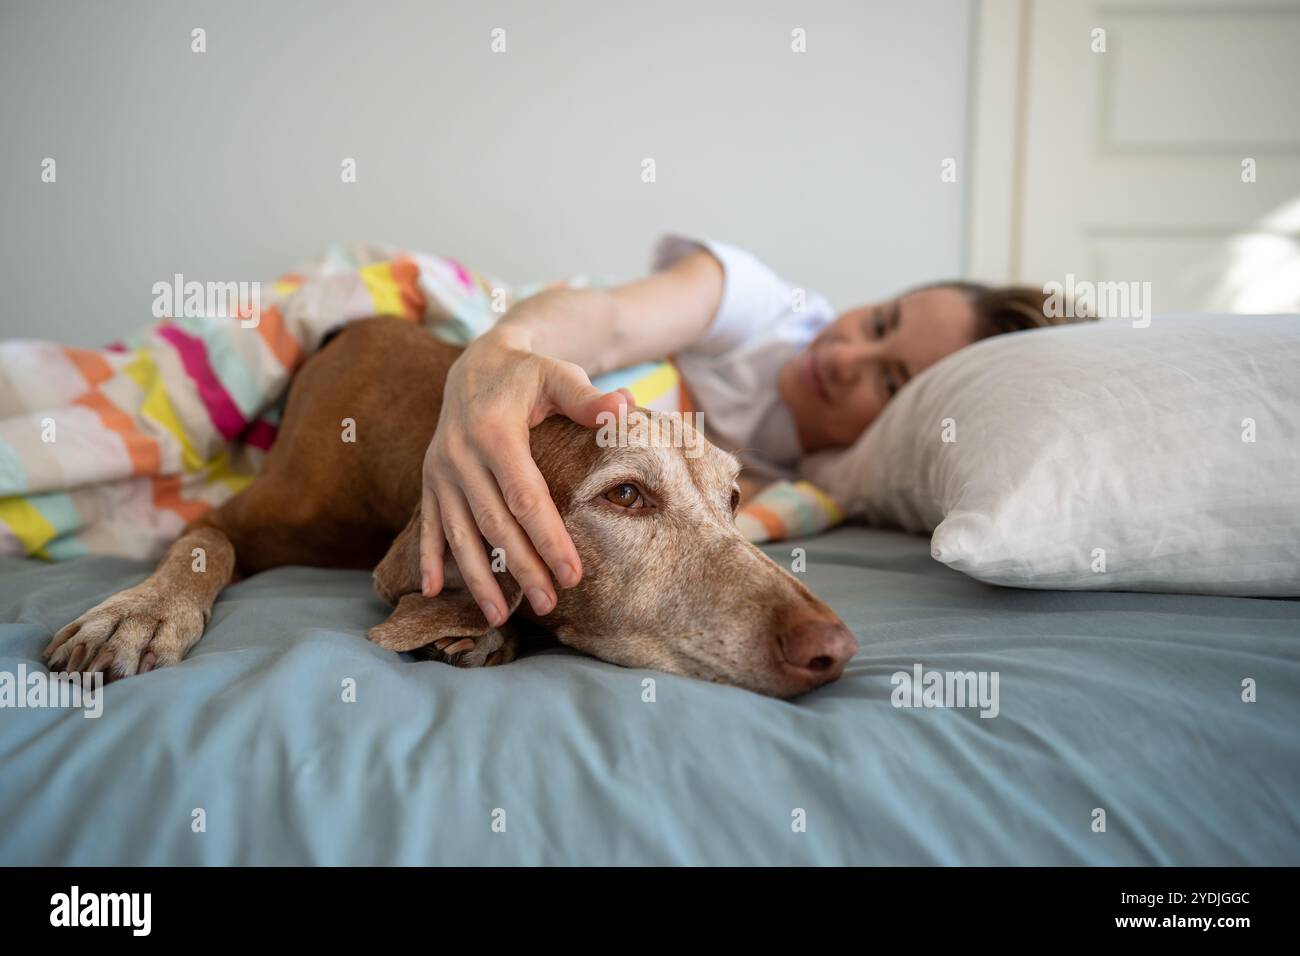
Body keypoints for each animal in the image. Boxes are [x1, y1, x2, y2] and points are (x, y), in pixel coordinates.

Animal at [43, 317, 852, 697]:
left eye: (733, 499)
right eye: (626, 494)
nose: (836, 647)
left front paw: (482, 631)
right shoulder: (227, 514)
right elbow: (203, 545)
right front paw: (141, 612)